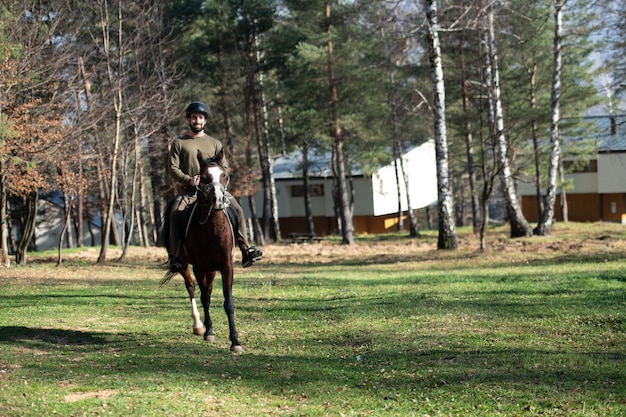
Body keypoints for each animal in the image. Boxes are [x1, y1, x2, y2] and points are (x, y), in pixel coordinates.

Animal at [158, 149, 241, 352]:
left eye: (224, 175)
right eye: (203, 177)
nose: (218, 200)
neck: (212, 228)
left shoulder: (226, 266)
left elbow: (228, 302)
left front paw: (235, 341)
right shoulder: (199, 267)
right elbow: (204, 298)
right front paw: (208, 332)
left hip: (212, 270)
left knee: (207, 290)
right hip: (185, 265)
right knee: (192, 287)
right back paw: (198, 326)